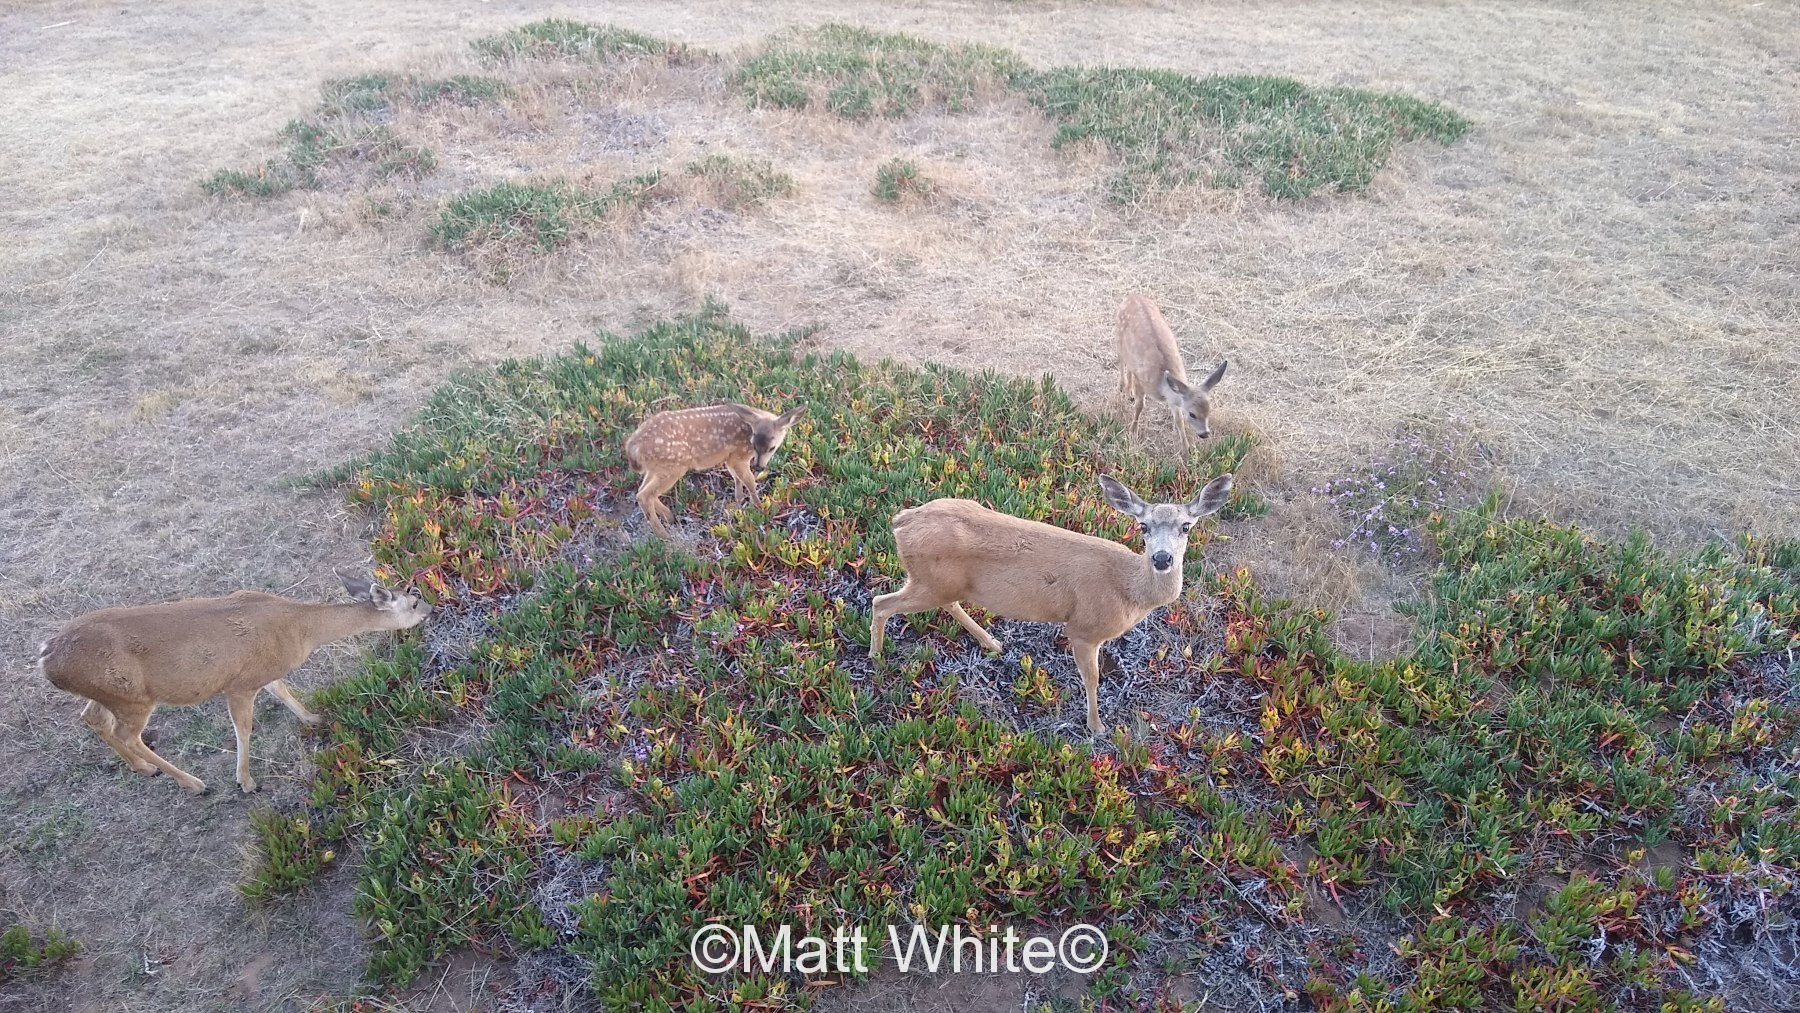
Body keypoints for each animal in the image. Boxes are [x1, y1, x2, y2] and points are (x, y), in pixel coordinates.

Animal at [37, 570, 431, 795]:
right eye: (413, 600)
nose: (432, 609)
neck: (299, 629)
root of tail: (47, 656)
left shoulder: (265, 673)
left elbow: (282, 689)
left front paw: (314, 718)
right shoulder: (239, 683)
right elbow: (244, 727)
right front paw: (246, 782)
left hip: (112, 694)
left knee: (93, 718)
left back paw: (145, 769)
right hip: (134, 699)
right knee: (126, 734)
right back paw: (194, 784)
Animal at [624, 402, 806, 538]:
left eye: (772, 448)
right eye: (754, 444)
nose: (759, 466)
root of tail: (633, 446)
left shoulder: (730, 458)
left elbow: (737, 478)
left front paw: (738, 501)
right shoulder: (738, 456)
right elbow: (749, 481)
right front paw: (760, 508)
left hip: (657, 468)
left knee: (642, 491)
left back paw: (670, 517)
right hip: (673, 466)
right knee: (644, 495)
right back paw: (664, 535)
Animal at [869, 472, 1234, 734]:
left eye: (1186, 526)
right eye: (1143, 526)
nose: (1161, 558)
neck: (1128, 588)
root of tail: (901, 521)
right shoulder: (1083, 628)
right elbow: (1092, 678)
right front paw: (1096, 727)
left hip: (939, 582)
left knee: (943, 603)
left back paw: (992, 643)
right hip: (928, 581)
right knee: (880, 602)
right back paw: (876, 657)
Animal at [1115, 293, 1228, 453]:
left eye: (1209, 410)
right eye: (1192, 414)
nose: (1205, 433)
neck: (1162, 386)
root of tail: (1132, 296)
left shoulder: (1175, 398)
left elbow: (1179, 420)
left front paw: (1186, 450)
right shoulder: (1142, 381)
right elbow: (1139, 406)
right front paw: (1133, 433)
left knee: (1129, 365)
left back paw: (1128, 393)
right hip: (1118, 337)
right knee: (1120, 361)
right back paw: (1122, 387)